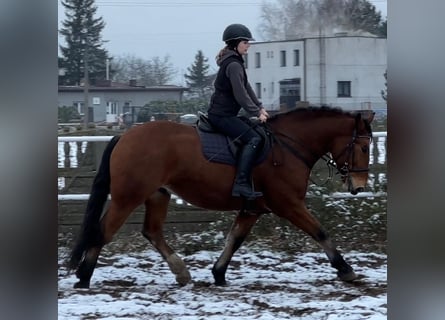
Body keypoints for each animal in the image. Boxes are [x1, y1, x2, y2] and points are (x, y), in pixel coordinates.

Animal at [67, 106, 372, 288]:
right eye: (364, 146)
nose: (359, 186)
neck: (288, 146)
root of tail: (125, 136)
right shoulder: (288, 204)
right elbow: (319, 231)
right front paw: (345, 269)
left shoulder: (253, 209)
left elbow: (234, 239)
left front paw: (219, 273)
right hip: (127, 198)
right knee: (103, 231)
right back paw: (84, 277)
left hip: (157, 195)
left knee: (151, 232)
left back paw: (181, 272)